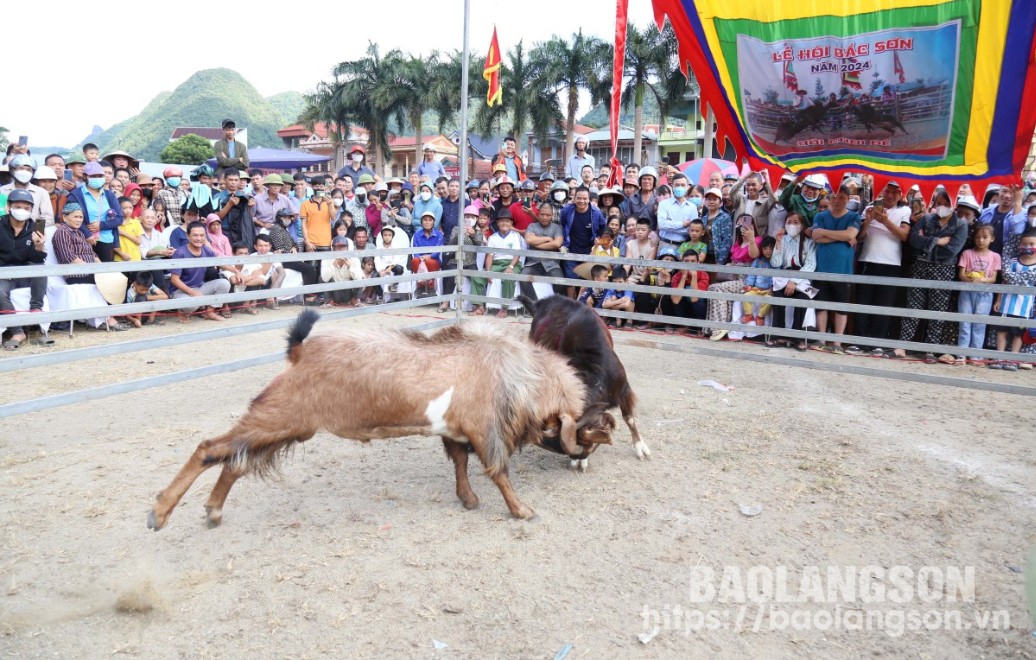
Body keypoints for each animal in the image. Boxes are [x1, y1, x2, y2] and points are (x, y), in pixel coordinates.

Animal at [150, 310, 609, 530]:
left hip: (288, 423)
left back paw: (212, 511)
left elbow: (460, 463)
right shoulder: (486, 430)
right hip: (281, 413)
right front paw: (522, 510)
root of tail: (299, 351)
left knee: (236, 460)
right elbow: (499, 471)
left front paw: (467, 499)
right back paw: (160, 512)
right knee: (210, 449)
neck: (518, 373)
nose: (582, 456)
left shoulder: (456, 431)